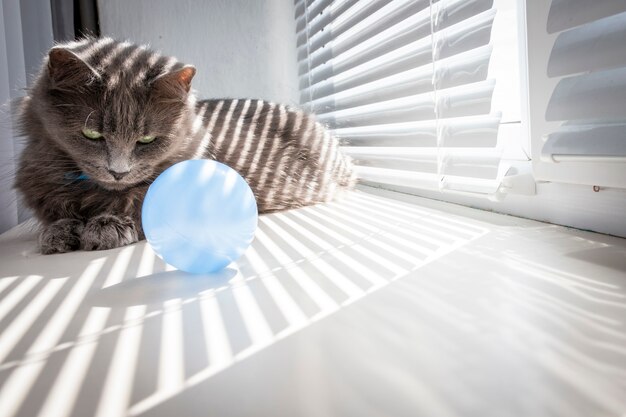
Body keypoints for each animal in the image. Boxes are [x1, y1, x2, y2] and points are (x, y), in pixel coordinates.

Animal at [14, 38, 354, 254]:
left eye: (147, 140)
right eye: (92, 134)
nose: (118, 172)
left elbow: (142, 206)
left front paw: (106, 226)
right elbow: (58, 213)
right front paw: (59, 232)